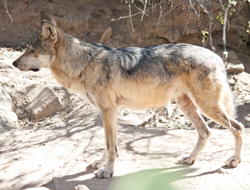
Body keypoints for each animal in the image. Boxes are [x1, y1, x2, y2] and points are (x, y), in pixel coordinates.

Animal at [12, 11, 244, 178]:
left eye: (32, 51)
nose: (13, 63)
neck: (84, 64)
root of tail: (216, 56)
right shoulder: (110, 113)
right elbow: (108, 144)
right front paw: (101, 164)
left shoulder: (108, 110)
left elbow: (110, 146)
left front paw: (107, 172)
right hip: (188, 106)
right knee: (206, 132)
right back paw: (190, 158)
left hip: (207, 107)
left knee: (237, 127)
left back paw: (234, 161)